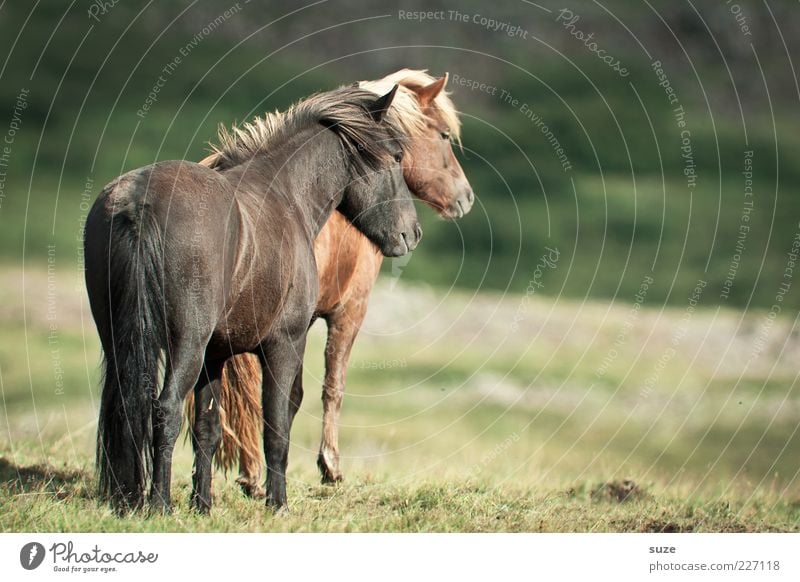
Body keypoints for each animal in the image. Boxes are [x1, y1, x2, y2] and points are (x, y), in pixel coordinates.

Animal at [84, 84, 422, 512]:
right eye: (395, 156)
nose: (412, 233)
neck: (286, 197)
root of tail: (137, 203)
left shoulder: (215, 355)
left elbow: (208, 427)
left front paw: (203, 503)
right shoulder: (283, 345)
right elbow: (276, 426)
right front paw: (278, 502)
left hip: (121, 341)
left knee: (125, 410)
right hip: (186, 345)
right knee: (165, 409)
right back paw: (159, 503)